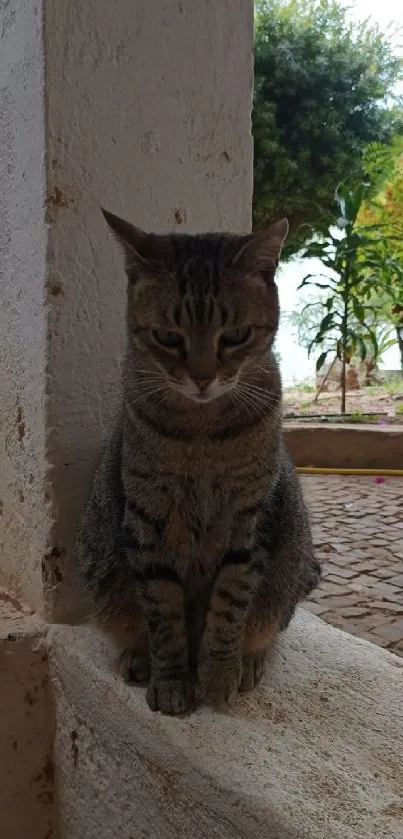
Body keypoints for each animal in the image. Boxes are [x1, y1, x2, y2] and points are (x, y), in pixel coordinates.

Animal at [76, 210, 322, 716]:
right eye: (169, 337)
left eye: (236, 336)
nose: (204, 377)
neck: (202, 435)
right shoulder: (147, 518)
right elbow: (162, 612)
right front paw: (172, 680)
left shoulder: (250, 517)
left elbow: (231, 601)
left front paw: (220, 671)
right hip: (98, 567)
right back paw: (138, 657)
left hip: (289, 569)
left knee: (267, 622)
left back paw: (248, 661)